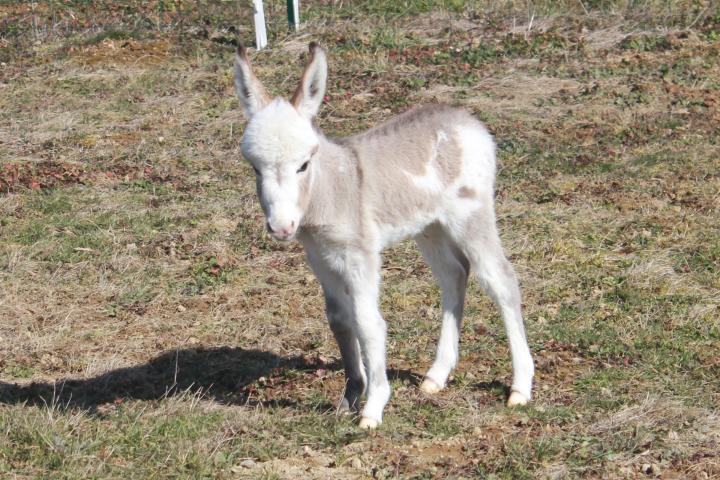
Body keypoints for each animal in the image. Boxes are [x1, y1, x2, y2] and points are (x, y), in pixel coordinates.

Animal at [233, 44, 532, 428]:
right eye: (255, 168)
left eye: (303, 164)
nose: (281, 227)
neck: (332, 188)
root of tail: (466, 119)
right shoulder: (321, 258)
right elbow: (339, 320)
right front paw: (350, 395)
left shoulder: (360, 256)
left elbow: (368, 322)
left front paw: (373, 407)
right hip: (430, 227)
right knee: (454, 275)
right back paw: (437, 376)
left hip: (471, 216)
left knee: (501, 280)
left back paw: (520, 388)